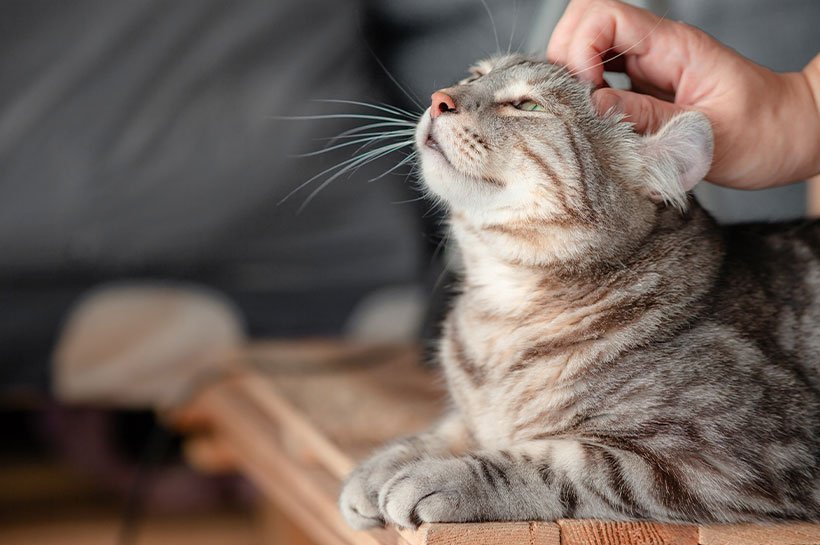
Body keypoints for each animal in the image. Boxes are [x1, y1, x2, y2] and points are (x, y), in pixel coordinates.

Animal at [336, 54, 816, 528]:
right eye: (475, 75)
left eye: (527, 105)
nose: (440, 99)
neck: (503, 306)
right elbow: (454, 427)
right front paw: (384, 464)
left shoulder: (713, 458)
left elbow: (548, 465)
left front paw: (439, 476)